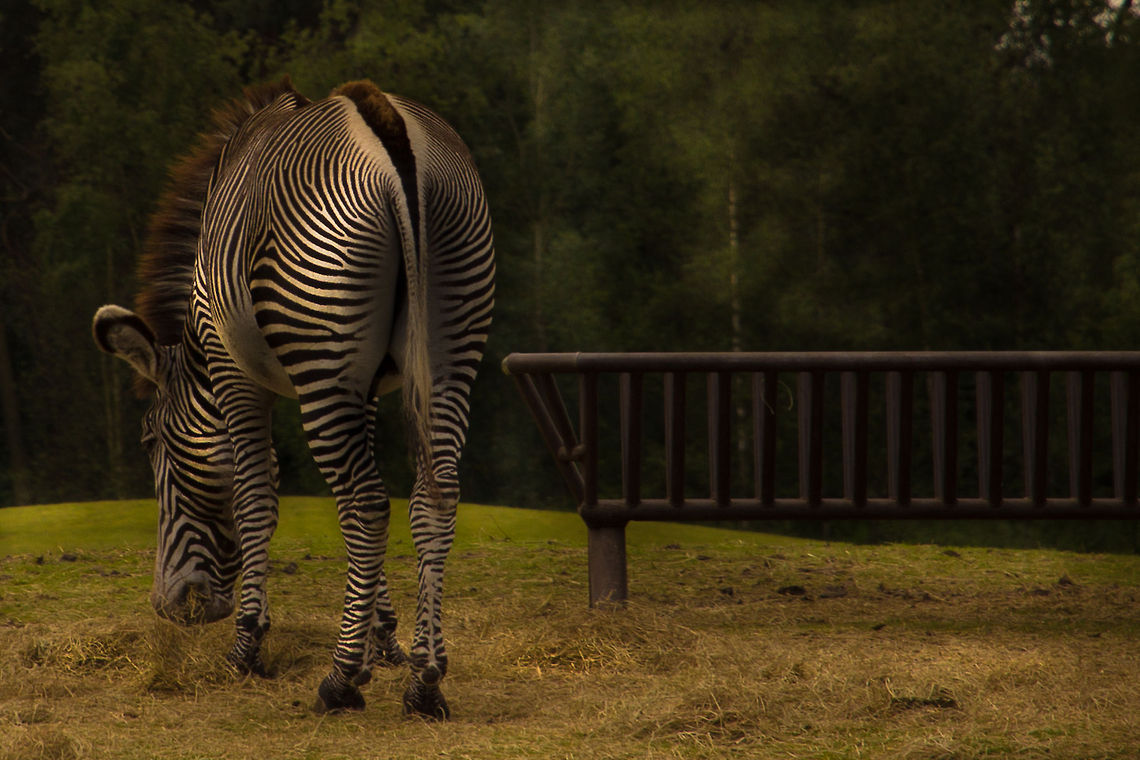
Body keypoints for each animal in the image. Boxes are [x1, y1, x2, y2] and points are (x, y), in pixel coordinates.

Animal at [91, 76, 494, 718]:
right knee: (430, 495)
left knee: (366, 502)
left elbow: (256, 498)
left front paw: (248, 646)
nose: (169, 608)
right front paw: (384, 640)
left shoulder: (233, 373)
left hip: (323, 345)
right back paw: (426, 682)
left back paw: (339, 680)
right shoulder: (368, 387)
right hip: (451, 339)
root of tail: (386, 124)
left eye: (150, 443)